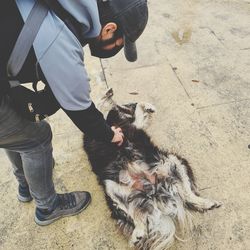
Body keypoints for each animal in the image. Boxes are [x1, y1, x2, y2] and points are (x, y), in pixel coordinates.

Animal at [83, 90, 221, 250]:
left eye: (127, 104)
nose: (110, 91)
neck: (108, 119)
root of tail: (153, 190)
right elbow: (101, 106)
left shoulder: (133, 125)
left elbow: (136, 109)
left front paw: (147, 106)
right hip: (112, 187)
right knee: (138, 218)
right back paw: (137, 234)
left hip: (173, 161)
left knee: (188, 195)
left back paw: (206, 203)